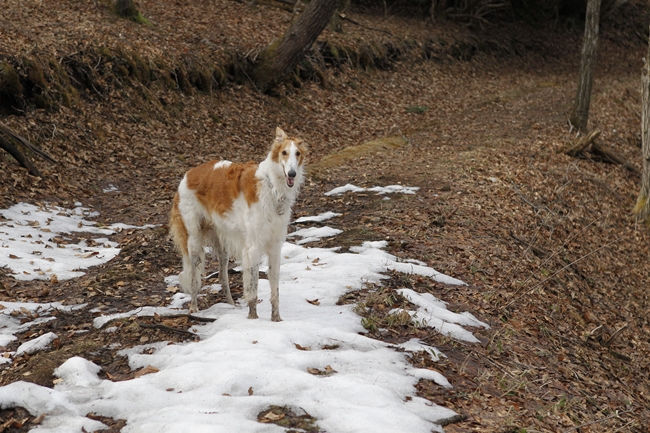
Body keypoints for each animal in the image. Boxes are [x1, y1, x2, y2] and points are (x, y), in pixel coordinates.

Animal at [170, 126, 306, 318]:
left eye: (298, 153)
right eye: (284, 153)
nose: (292, 174)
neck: (271, 187)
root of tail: (188, 175)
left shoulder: (275, 246)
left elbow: (275, 289)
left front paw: (276, 319)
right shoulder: (253, 247)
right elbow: (253, 287)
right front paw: (253, 318)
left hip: (223, 245)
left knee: (222, 277)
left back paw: (230, 305)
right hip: (194, 240)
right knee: (194, 277)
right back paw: (193, 308)